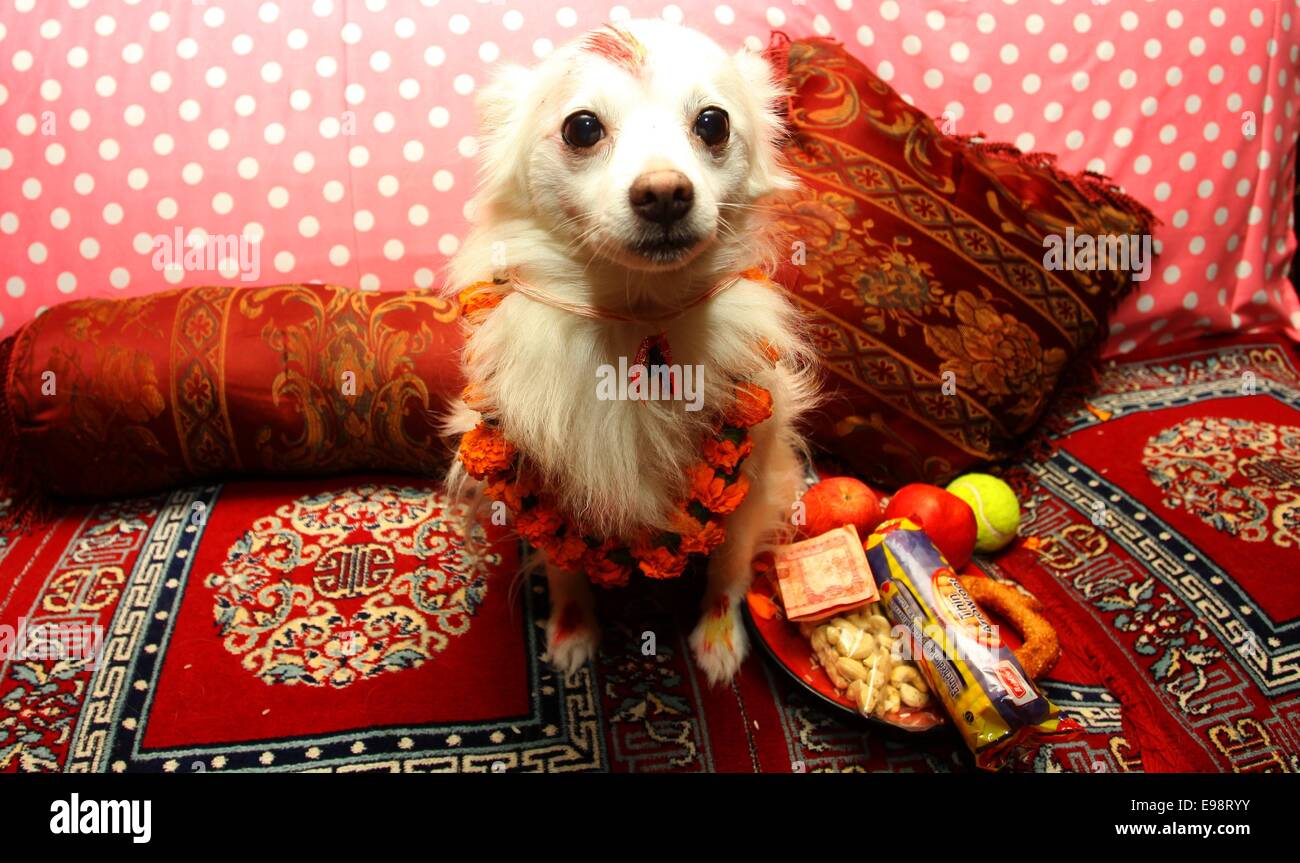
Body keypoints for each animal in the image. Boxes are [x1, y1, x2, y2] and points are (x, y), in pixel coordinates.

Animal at [444, 20, 811, 686]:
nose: (665, 192)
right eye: (582, 128)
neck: (637, 315)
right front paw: (572, 632)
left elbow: (729, 565)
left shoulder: (754, 474)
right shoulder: (545, 479)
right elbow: (563, 563)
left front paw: (719, 636)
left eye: (713, 123)